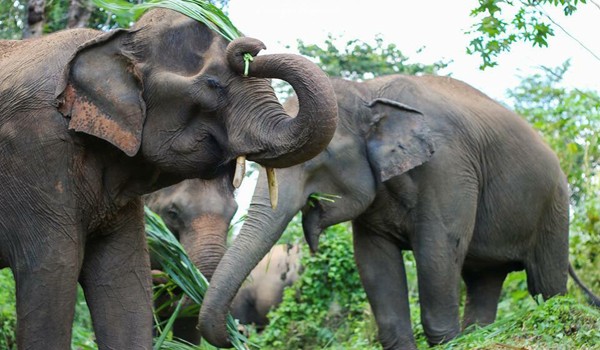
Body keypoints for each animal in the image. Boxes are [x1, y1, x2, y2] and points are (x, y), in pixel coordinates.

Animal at [0, 8, 338, 350]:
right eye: (213, 84)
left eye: (233, 215)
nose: (253, 46)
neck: (118, 39)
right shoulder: (36, 152)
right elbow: (52, 270)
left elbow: (125, 276)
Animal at [198, 75, 600, 348]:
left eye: (318, 155)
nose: (239, 333)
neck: (368, 93)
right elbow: (373, 261)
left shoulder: (449, 168)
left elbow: (439, 249)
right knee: (484, 280)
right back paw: (478, 334)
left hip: (554, 206)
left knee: (545, 285)